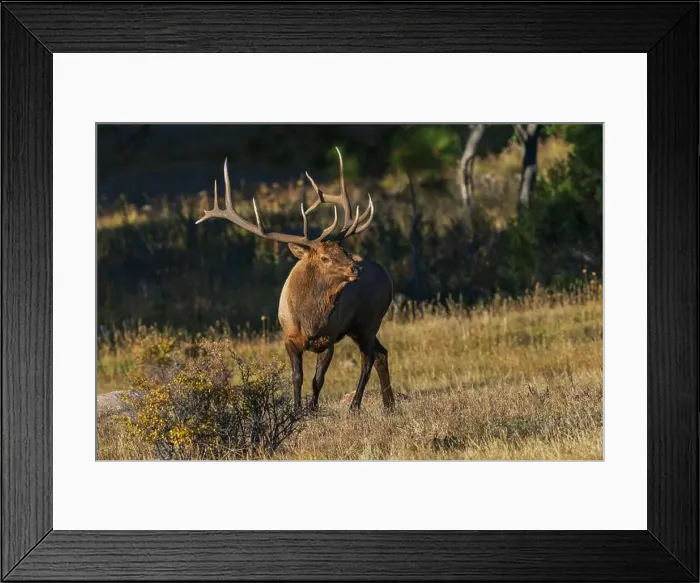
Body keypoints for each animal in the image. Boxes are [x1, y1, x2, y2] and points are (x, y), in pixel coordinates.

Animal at [195, 147, 396, 412]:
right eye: (324, 257)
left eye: (343, 250)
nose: (356, 268)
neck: (309, 320)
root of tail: (386, 275)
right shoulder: (289, 339)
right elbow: (297, 377)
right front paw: (297, 408)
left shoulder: (329, 339)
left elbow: (317, 379)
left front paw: (312, 408)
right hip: (360, 326)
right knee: (380, 353)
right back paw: (389, 404)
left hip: (369, 319)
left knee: (368, 358)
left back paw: (356, 405)